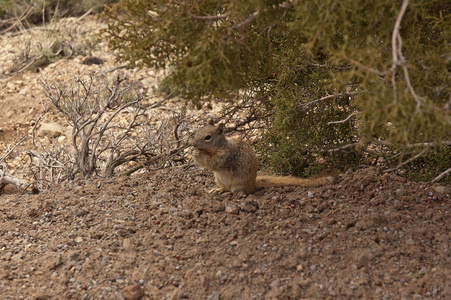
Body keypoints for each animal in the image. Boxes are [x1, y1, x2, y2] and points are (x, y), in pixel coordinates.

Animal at [191, 119, 336, 195]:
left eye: (208, 137)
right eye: (197, 131)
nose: (193, 144)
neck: (218, 147)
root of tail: (253, 184)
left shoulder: (227, 155)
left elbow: (214, 163)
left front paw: (199, 154)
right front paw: (194, 153)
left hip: (239, 186)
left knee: (235, 192)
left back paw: (228, 193)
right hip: (219, 179)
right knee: (224, 187)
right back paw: (218, 190)